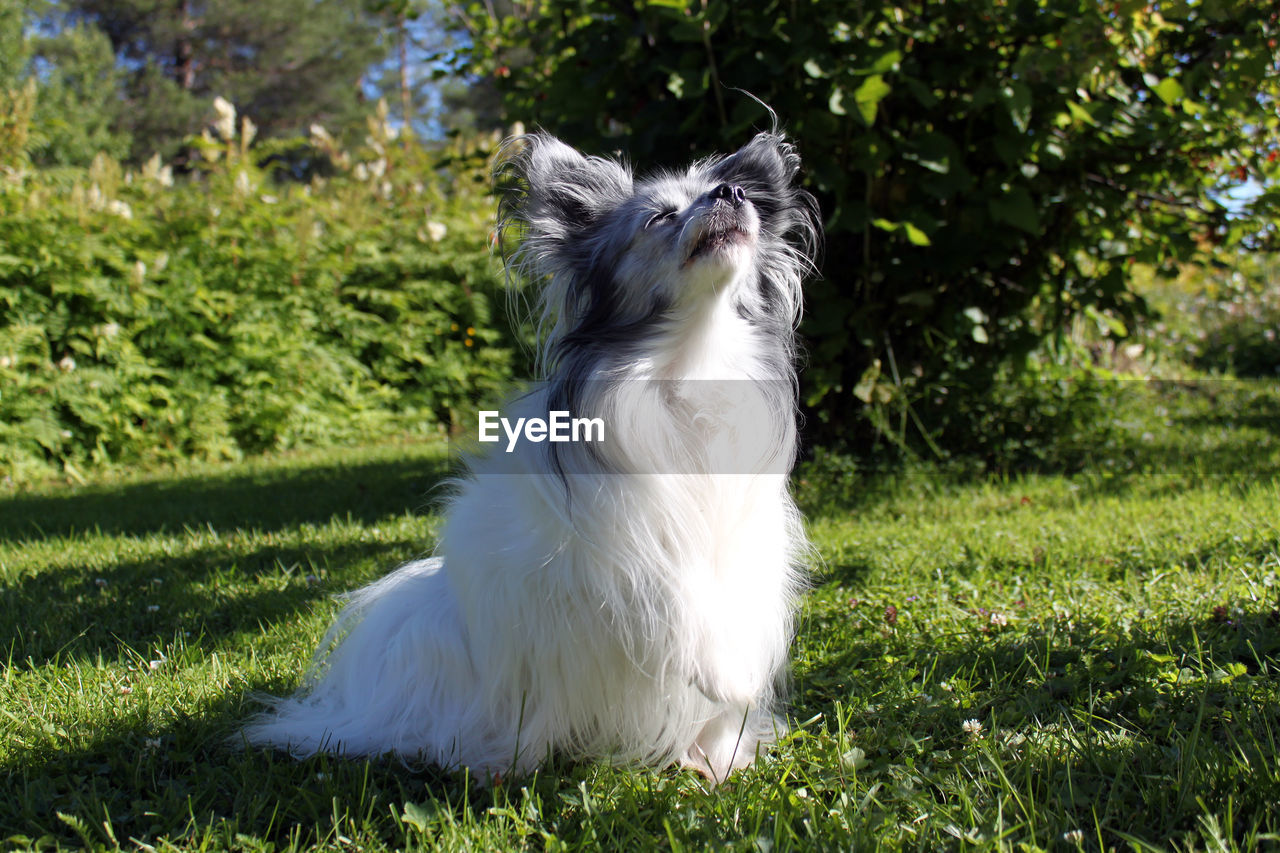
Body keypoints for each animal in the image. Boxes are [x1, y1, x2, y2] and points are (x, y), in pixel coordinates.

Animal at [240, 128, 819, 783]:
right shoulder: (604, 542)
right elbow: (666, 589)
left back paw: (712, 759)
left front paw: (731, 692)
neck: (692, 362)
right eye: (660, 217)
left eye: (729, 190)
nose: (733, 192)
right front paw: (716, 669)